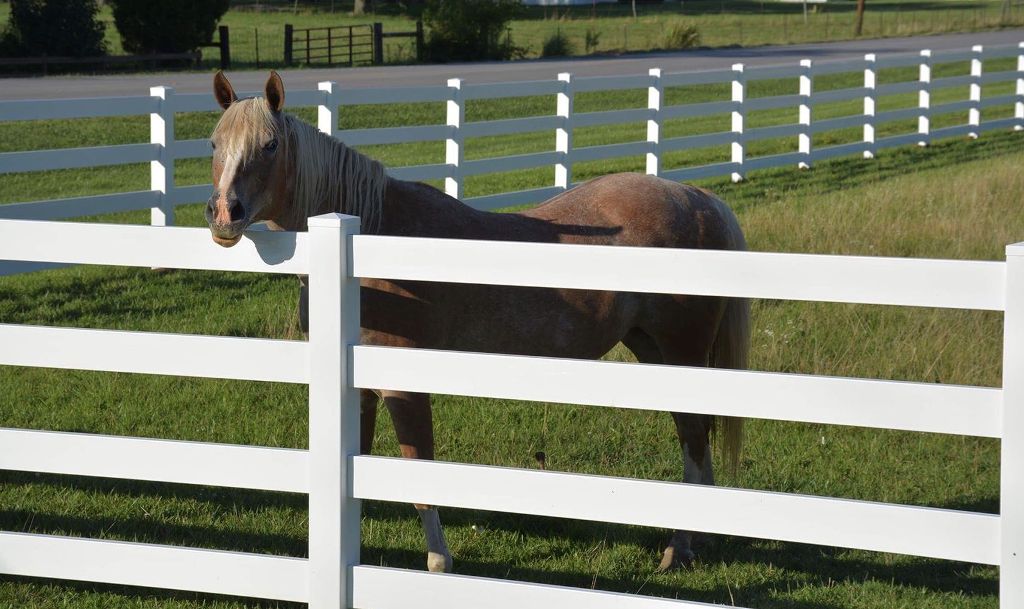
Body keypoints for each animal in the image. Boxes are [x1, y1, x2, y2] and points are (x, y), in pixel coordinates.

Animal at [205, 69, 753, 573]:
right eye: (214, 142)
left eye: (270, 144)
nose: (224, 214)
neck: (369, 240)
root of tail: (698, 198)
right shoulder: (359, 392)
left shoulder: (405, 388)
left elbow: (419, 477)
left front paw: (438, 562)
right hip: (655, 350)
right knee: (695, 437)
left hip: (681, 351)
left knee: (694, 439)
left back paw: (677, 548)